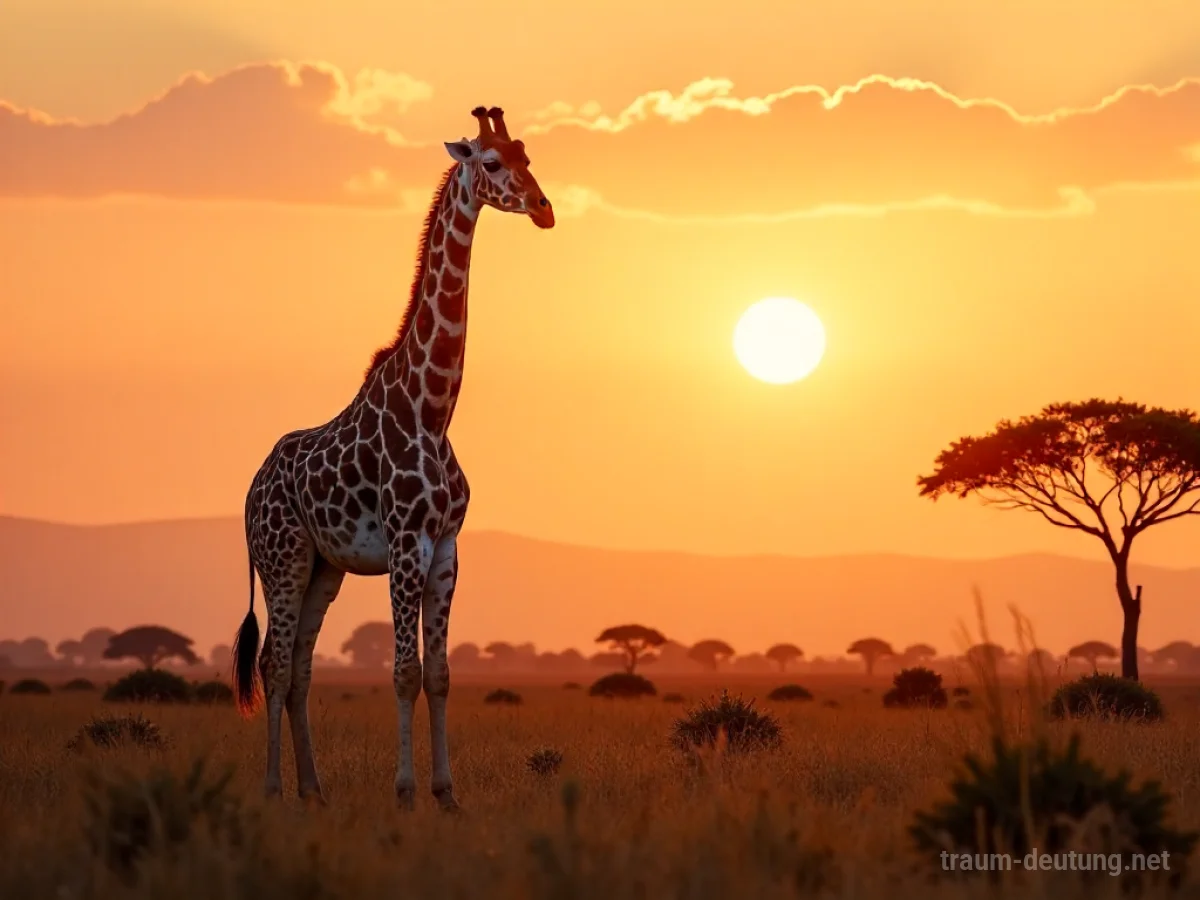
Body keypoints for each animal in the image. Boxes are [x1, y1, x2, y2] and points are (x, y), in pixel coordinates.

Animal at [230, 106, 554, 810]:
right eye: (492, 162)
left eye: (528, 155)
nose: (544, 208)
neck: (432, 408)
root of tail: (250, 489)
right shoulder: (407, 542)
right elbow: (405, 671)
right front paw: (405, 793)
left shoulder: (447, 548)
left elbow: (441, 676)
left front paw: (447, 794)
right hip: (283, 559)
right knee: (273, 664)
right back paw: (272, 789)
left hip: (325, 568)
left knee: (299, 668)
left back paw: (314, 791)